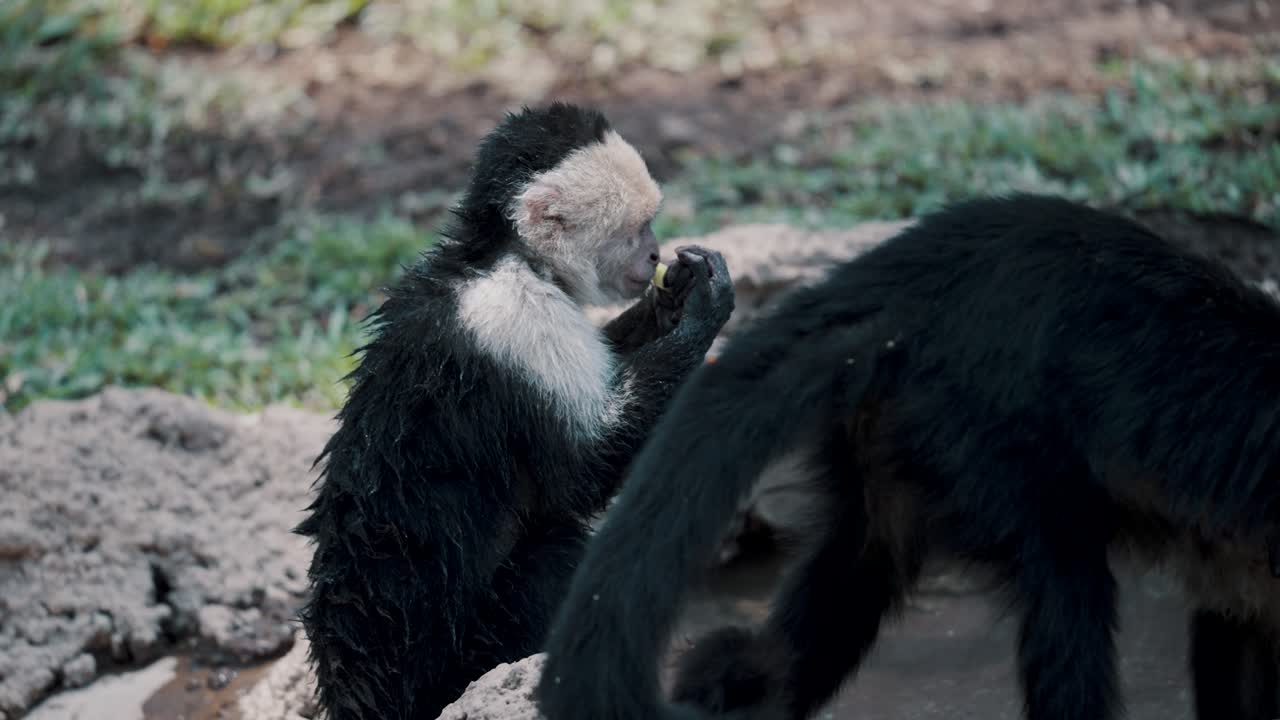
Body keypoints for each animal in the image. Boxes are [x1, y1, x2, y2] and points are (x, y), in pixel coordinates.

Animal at [294, 102, 735, 720]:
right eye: (636, 228)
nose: (653, 254)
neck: (505, 258)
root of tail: (357, 688)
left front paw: (672, 299)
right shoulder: (519, 320)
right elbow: (582, 472)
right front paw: (702, 309)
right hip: (463, 651)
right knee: (551, 557)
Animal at [536, 193, 1280, 720]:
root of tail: (903, 279)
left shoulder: (1241, 566)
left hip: (899, 427)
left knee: (856, 568)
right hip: (981, 428)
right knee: (1069, 583)